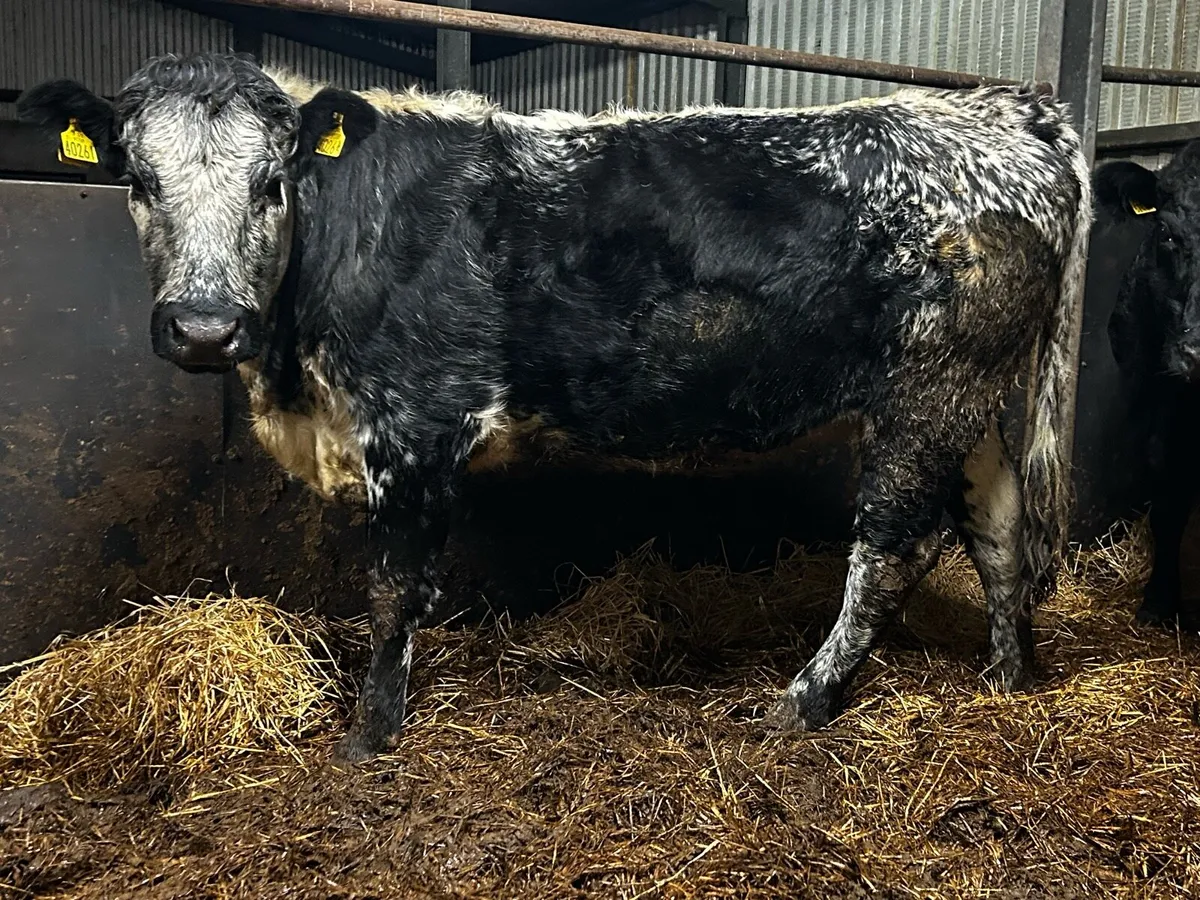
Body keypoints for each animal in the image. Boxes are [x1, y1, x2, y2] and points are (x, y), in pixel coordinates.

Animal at [19, 52, 1092, 764]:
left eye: (273, 181)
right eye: (137, 180)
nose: (203, 328)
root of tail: (1004, 110)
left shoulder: (414, 423)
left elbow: (393, 589)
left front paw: (370, 736)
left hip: (928, 388)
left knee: (894, 547)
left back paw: (803, 700)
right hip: (971, 396)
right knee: (998, 530)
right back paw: (1005, 680)